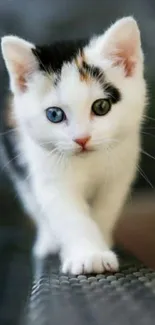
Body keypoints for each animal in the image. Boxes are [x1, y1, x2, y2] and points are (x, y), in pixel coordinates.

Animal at [0, 16, 147, 272]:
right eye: (54, 115)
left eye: (101, 107)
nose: (82, 139)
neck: (88, 162)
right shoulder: (47, 173)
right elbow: (68, 214)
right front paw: (89, 254)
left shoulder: (119, 171)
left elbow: (105, 210)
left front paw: (101, 242)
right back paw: (48, 242)